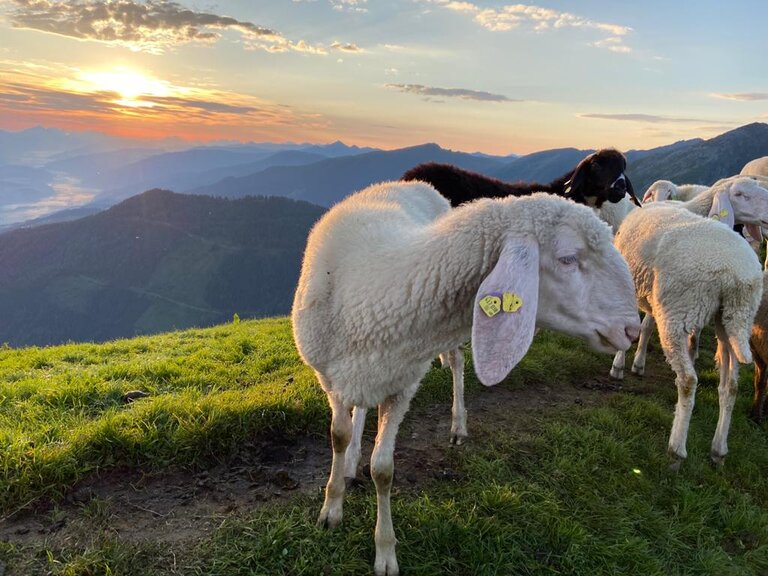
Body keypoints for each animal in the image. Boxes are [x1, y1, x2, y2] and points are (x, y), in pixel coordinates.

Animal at [294, 181, 640, 576]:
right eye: (568, 258)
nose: (632, 330)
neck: (371, 288)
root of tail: (411, 183)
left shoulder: (403, 386)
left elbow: (383, 469)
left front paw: (385, 550)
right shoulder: (329, 376)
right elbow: (338, 436)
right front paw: (331, 508)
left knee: (458, 364)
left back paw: (458, 424)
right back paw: (352, 457)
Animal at [608, 202, 764, 468]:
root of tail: (735, 276)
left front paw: (618, 366)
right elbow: (644, 327)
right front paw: (637, 363)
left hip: (678, 311)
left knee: (689, 381)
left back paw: (676, 450)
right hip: (732, 318)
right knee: (730, 386)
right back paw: (718, 450)